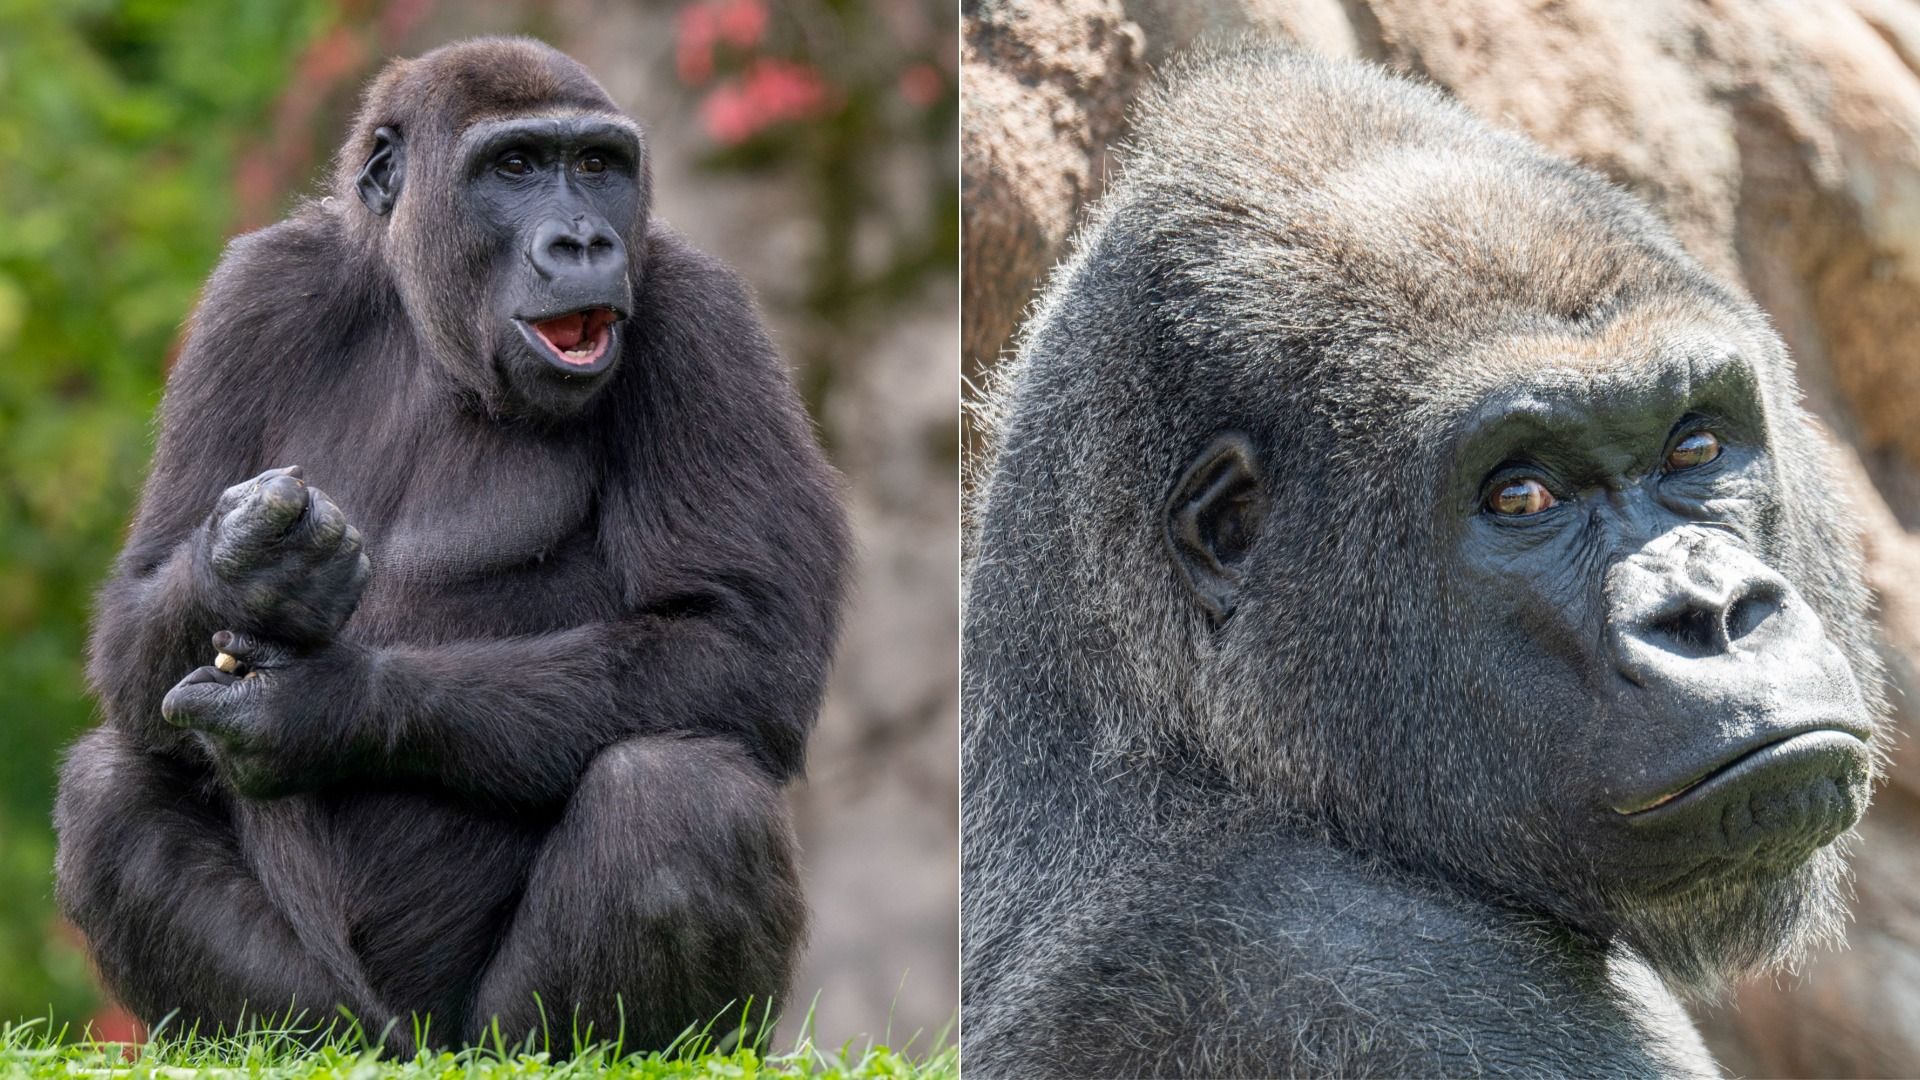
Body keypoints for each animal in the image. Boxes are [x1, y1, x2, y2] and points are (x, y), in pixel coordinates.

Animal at [55, 37, 849, 1055]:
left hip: (497, 1035)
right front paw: (244, 570)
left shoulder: (702, 317)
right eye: (514, 166)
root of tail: (429, 1045)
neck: (427, 321)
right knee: (109, 791)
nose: (584, 242)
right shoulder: (251, 295)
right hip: (357, 1025)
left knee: (676, 793)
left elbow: (739, 639)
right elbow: (134, 628)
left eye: (597, 165)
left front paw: (329, 707)